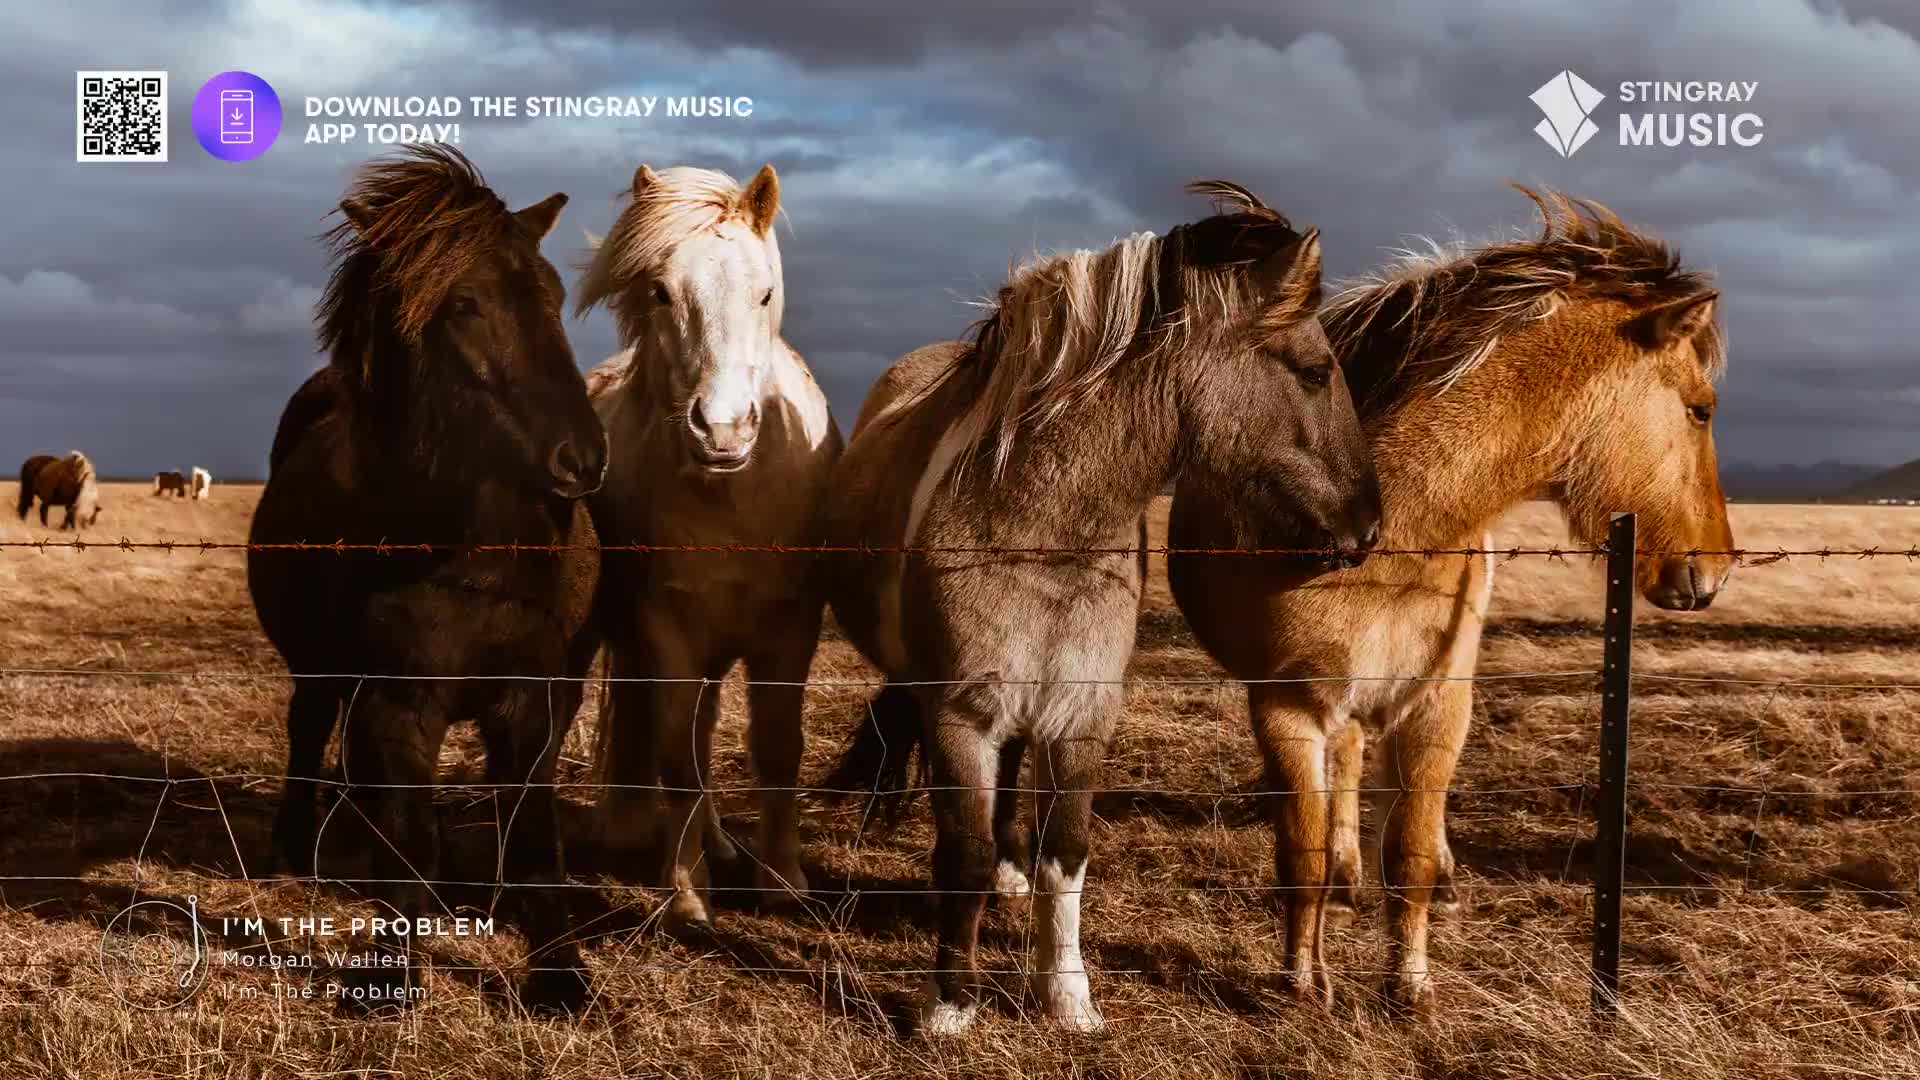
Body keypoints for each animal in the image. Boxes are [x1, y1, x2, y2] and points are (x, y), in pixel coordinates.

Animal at [247, 145, 606, 1014]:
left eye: (553, 296)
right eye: (464, 305)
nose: (581, 460)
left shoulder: (532, 697)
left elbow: (533, 830)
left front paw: (559, 975)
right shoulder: (397, 701)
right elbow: (405, 835)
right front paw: (387, 974)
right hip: (320, 670)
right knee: (310, 731)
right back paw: (293, 847)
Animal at [574, 162, 842, 931]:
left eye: (765, 292)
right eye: (662, 293)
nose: (721, 431)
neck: (732, 500)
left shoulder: (790, 632)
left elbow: (778, 749)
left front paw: (782, 880)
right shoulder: (669, 634)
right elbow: (677, 759)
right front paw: (687, 891)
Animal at [821, 181, 1381, 1034]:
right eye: (1316, 373)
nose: (1368, 526)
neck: (1038, 534)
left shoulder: (1082, 714)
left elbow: (1067, 853)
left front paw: (1067, 997)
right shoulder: (958, 718)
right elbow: (962, 853)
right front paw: (949, 1004)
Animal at [1167, 188, 1736, 1014]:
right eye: (1700, 410)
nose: (1714, 569)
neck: (1384, 534)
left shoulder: (1440, 701)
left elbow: (1407, 847)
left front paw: (1408, 984)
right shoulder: (1284, 707)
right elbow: (1302, 850)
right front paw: (1302, 980)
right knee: (1346, 773)